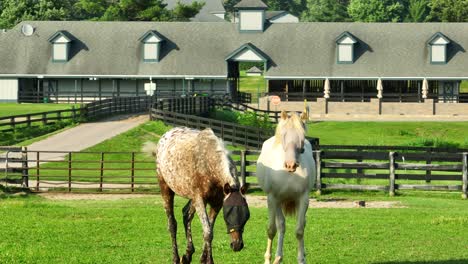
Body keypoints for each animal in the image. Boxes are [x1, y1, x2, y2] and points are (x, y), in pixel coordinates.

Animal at [144, 127, 250, 262]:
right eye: (227, 215)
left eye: (246, 215)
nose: (237, 245)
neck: (208, 164)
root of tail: (165, 136)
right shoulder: (200, 200)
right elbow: (208, 232)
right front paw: (209, 260)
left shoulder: (216, 203)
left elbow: (209, 229)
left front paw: (203, 258)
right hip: (166, 189)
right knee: (172, 224)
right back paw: (176, 258)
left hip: (192, 197)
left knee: (186, 215)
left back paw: (187, 254)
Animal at [254, 111, 316, 264]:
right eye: (283, 135)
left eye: (302, 135)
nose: (291, 164)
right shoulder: (272, 198)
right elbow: (271, 229)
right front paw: (268, 259)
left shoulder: (303, 199)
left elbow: (299, 230)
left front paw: (301, 259)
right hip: (277, 202)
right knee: (281, 225)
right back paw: (277, 257)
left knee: (296, 224)